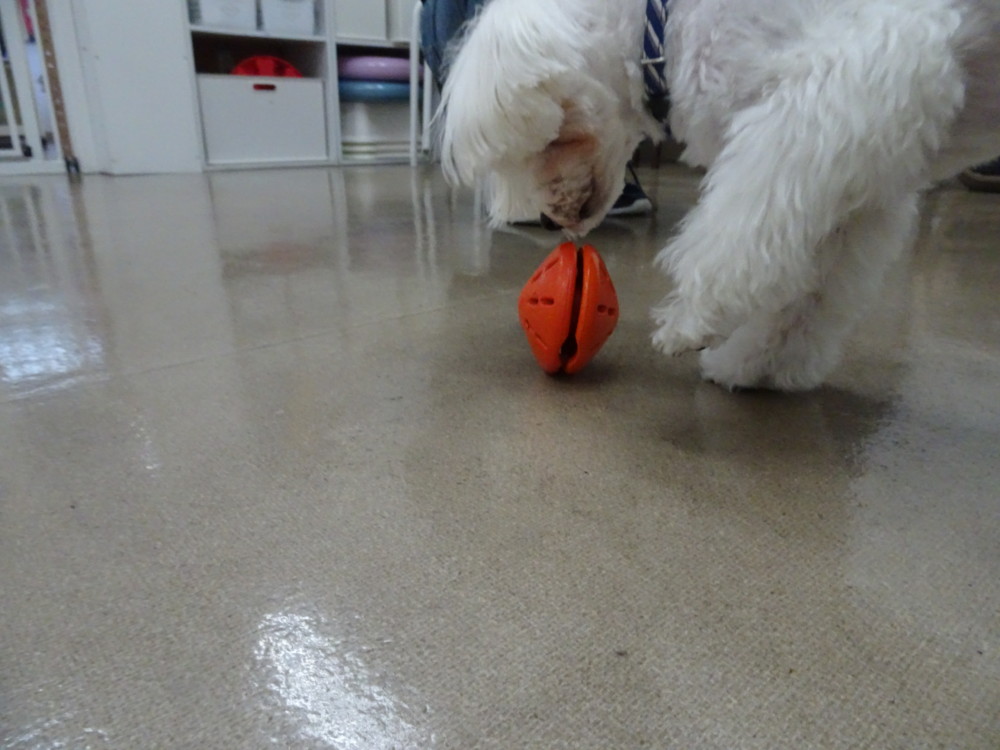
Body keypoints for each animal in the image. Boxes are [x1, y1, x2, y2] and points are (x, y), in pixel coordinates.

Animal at [437, 0, 1000, 390]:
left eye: (552, 140)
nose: (550, 224)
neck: (661, 24)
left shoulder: (830, 95)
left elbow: (738, 234)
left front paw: (690, 319)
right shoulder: (854, 178)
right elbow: (809, 295)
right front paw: (755, 363)